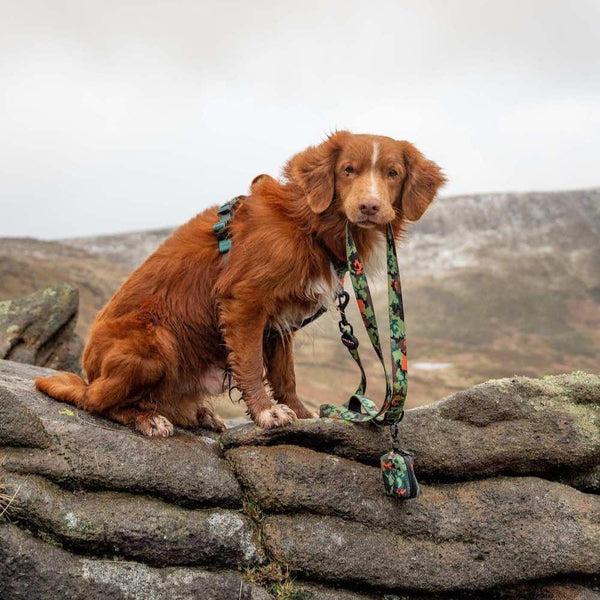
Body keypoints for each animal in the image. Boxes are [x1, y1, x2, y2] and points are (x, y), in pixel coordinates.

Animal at [34, 132, 446, 436]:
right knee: (95, 401)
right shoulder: (244, 301)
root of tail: (89, 371)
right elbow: (249, 363)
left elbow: (285, 374)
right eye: (347, 170)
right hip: (154, 342)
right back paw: (147, 418)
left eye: (392, 173)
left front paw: (302, 412)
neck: (308, 225)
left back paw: (195, 414)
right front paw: (267, 413)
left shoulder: (279, 320)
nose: (369, 207)